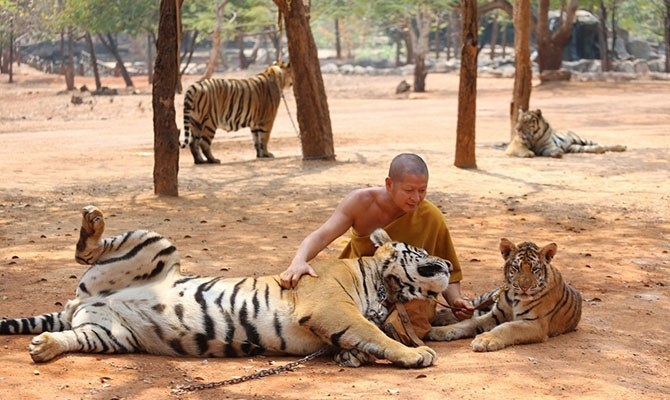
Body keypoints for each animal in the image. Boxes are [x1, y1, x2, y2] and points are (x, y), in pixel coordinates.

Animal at [1, 205, 452, 368]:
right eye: (424, 251)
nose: (448, 262)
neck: (387, 289)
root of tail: (83, 301)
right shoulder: (330, 307)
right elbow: (374, 332)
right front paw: (418, 353)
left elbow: (365, 338)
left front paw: (352, 357)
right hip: (154, 244)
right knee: (89, 249)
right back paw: (93, 222)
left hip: (109, 334)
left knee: (72, 336)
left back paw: (44, 347)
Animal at [430, 238, 584, 350]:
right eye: (516, 267)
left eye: (535, 269)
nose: (524, 287)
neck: (515, 299)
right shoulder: (495, 314)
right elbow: (468, 322)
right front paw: (437, 331)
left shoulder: (535, 324)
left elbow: (507, 327)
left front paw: (485, 340)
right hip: (487, 298)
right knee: (466, 308)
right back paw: (438, 317)